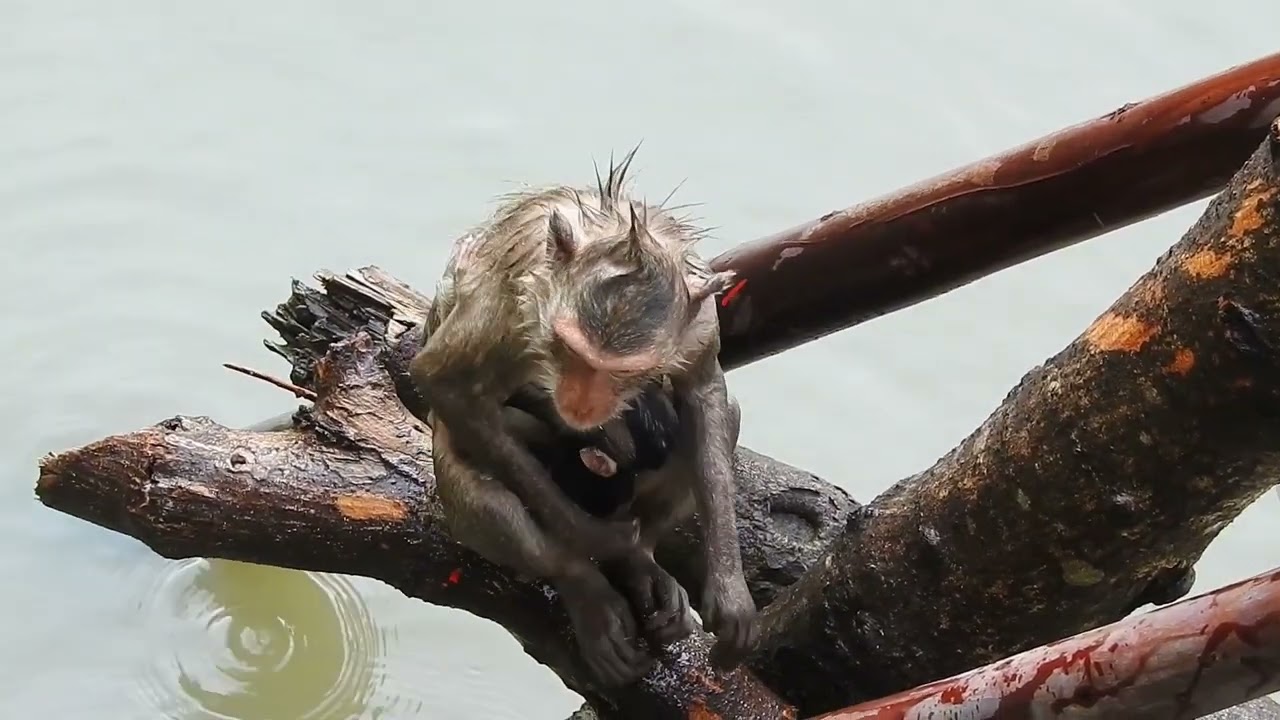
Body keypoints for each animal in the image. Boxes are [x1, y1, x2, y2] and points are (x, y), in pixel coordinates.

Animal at [409, 150, 758, 685]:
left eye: (620, 372)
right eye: (570, 352)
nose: (579, 401)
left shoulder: (697, 324)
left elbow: (704, 392)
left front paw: (730, 593)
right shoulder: (507, 303)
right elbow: (442, 381)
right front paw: (590, 538)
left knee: (721, 420)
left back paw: (640, 563)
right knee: (470, 470)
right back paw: (584, 583)